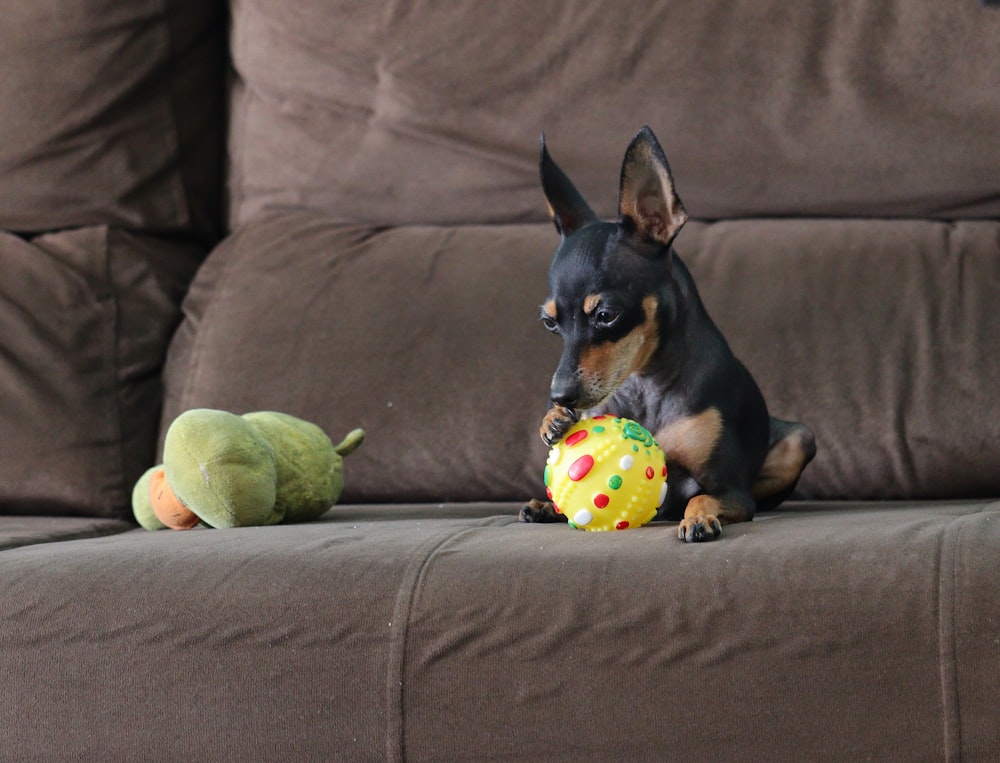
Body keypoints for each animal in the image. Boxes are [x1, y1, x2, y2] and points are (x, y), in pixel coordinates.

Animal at [520, 127, 816, 544]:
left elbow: (703, 496)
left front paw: (698, 518)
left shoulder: (731, 490)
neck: (645, 384)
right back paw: (546, 506)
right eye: (550, 324)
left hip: (799, 440)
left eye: (606, 316)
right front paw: (553, 419)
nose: (559, 395)